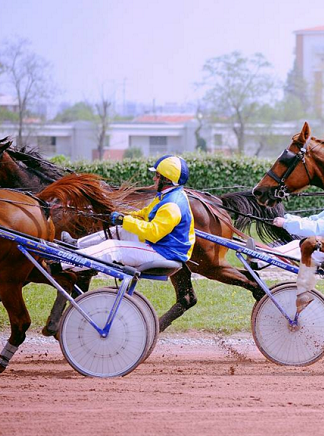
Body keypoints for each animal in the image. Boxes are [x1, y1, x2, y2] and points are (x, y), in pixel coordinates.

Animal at [0, 137, 292, 334]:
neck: (55, 203)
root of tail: (215, 202)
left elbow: (70, 287)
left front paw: (55, 326)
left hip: (209, 264)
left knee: (251, 283)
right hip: (187, 265)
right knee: (190, 297)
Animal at [0, 172, 124, 372]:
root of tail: (39, 203)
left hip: (10, 278)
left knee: (21, 322)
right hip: (33, 267)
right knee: (67, 279)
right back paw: (52, 325)